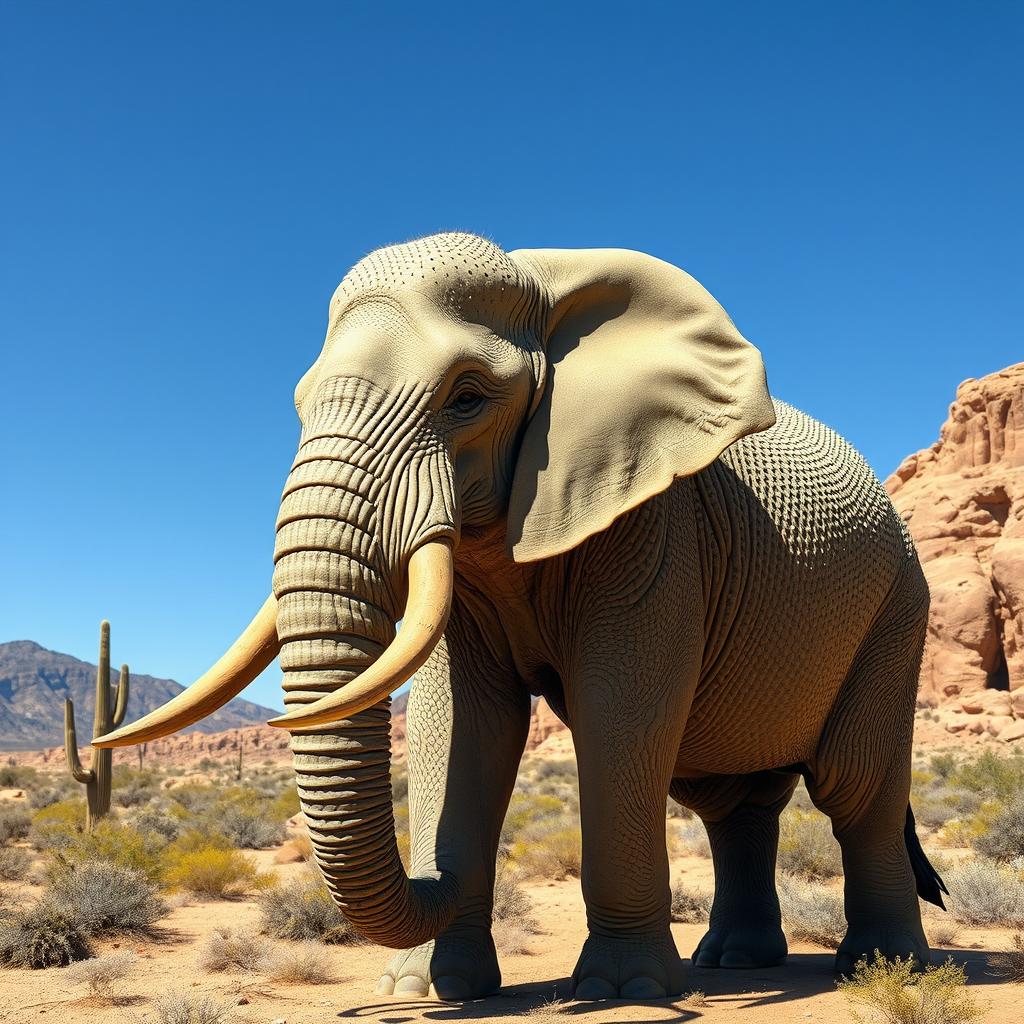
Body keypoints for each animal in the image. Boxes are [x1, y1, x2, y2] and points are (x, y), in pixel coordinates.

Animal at [95, 231, 946, 1001]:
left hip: (897, 610)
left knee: (855, 789)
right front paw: (430, 990)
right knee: (733, 805)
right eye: (300, 405)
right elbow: (461, 722)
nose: (439, 875)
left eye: (467, 397)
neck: (544, 283)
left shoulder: (653, 522)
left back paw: (881, 967)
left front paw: (624, 990)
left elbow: (619, 711)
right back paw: (734, 963)